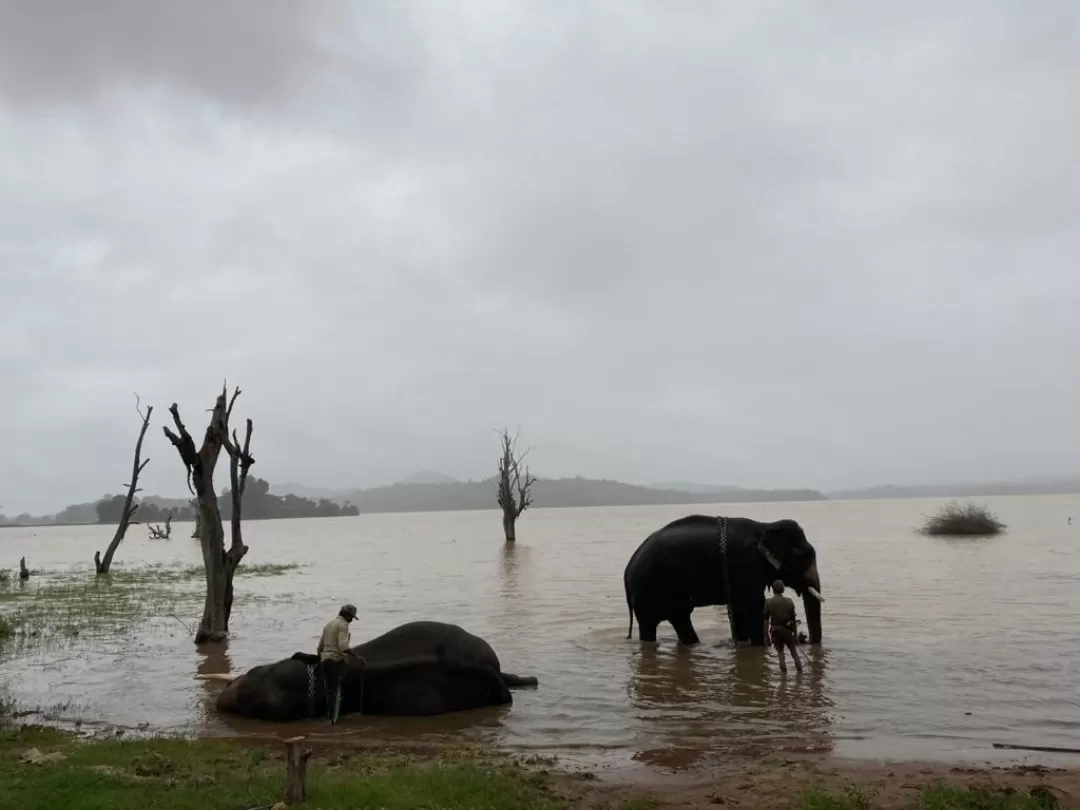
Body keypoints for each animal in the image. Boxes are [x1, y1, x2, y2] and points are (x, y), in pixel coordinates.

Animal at [626, 516, 825, 652]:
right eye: (803, 555)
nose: (804, 639)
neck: (766, 526)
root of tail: (629, 566)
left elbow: (739, 611)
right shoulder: (745, 566)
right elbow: (753, 608)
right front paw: (761, 647)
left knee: (680, 618)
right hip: (646, 591)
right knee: (650, 625)